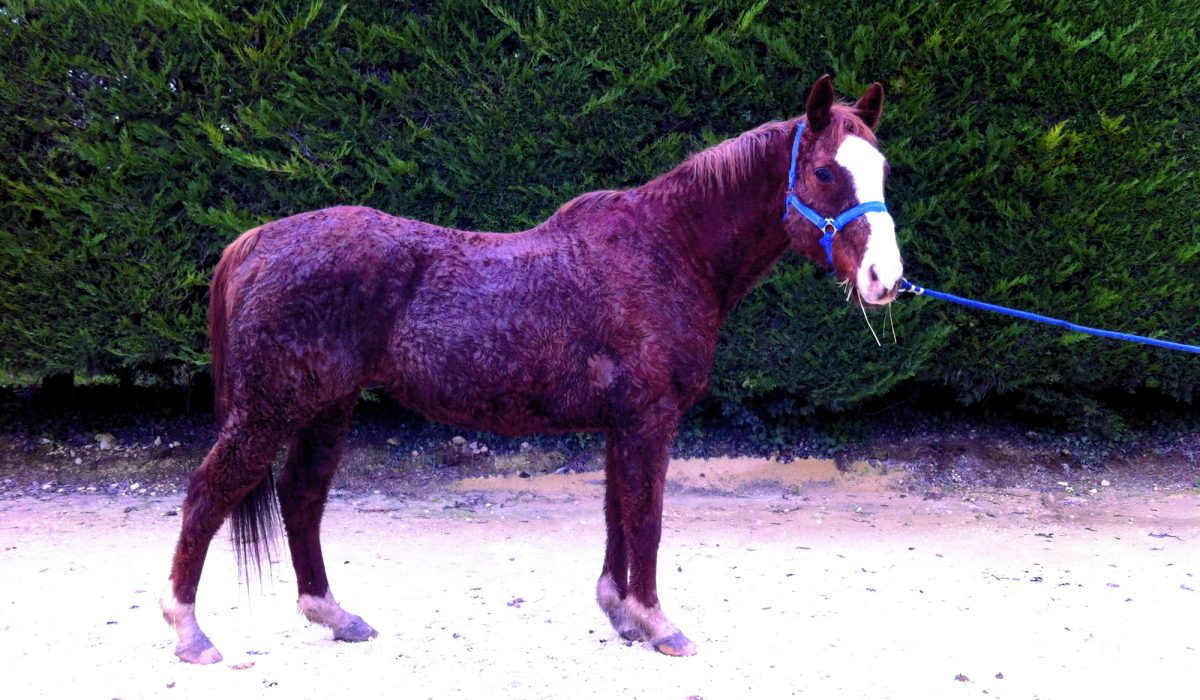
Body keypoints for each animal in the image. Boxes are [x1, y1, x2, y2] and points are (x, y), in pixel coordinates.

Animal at [161, 74, 904, 663]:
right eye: (826, 173)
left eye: (883, 170)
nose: (886, 279)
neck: (668, 250)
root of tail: (257, 240)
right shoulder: (650, 419)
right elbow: (647, 517)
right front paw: (659, 625)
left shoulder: (622, 423)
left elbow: (618, 513)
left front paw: (622, 614)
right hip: (268, 412)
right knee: (206, 495)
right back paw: (190, 632)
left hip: (324, 409)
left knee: (301, 498)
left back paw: (334, 615)